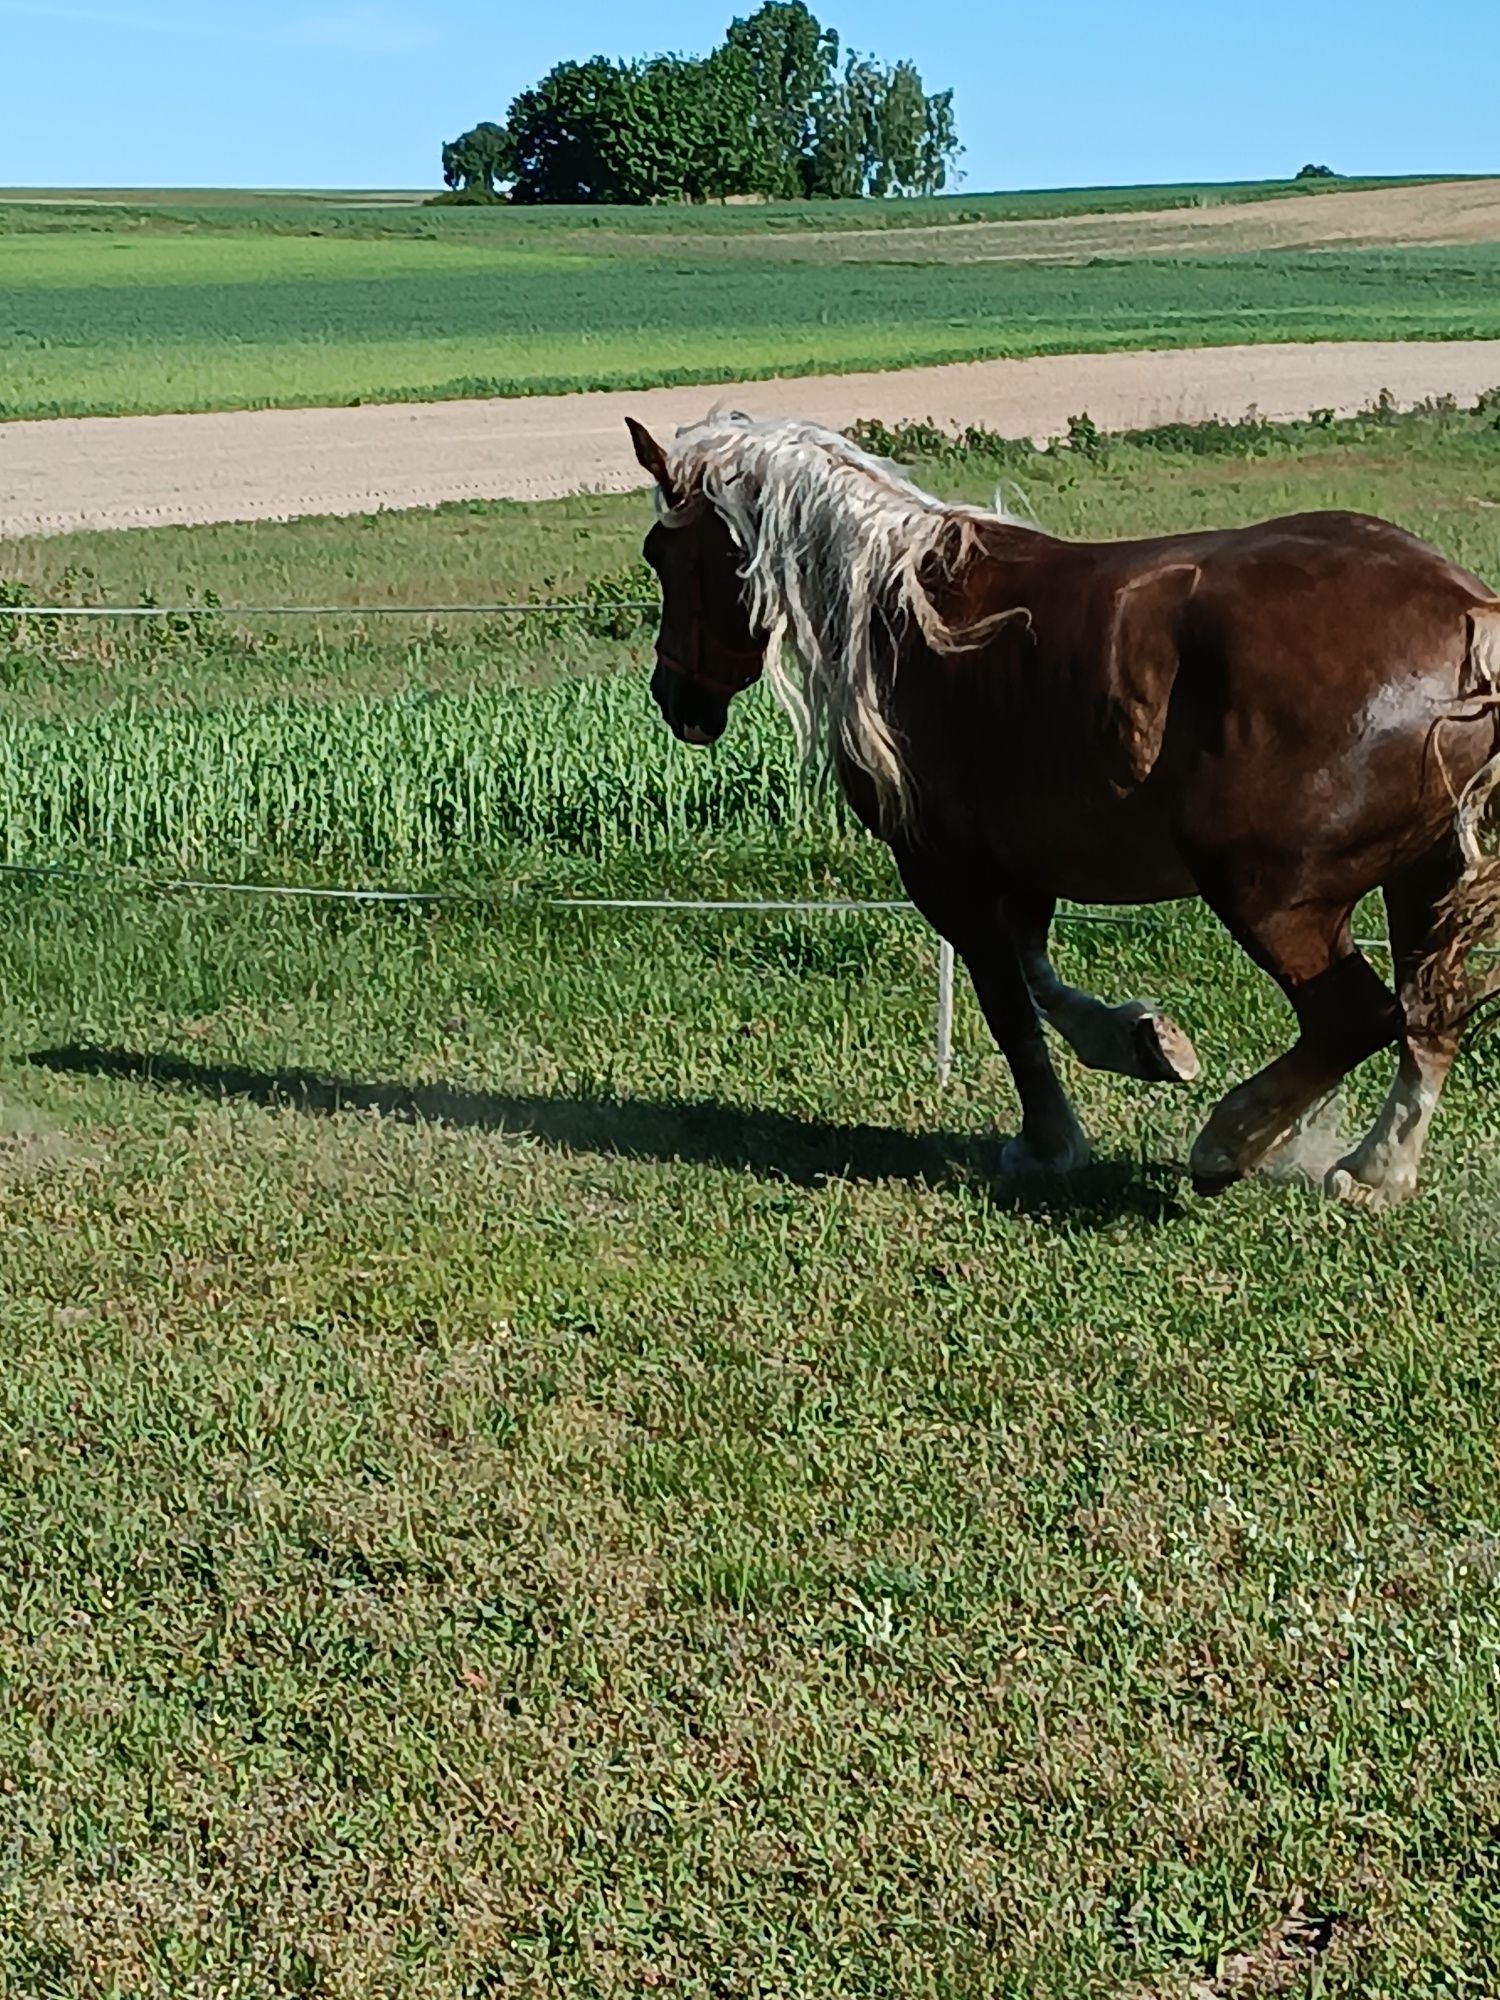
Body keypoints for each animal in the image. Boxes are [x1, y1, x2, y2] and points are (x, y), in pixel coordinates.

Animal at [624, 406, 1500, 1200]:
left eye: (660, 553)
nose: (674, 699)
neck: (898, 614)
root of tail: (1468, 618)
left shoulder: (944, 871)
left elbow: (1008, 1005)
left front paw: (1048, 1142)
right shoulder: (1021, 866)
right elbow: (1040, 979)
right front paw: (1146, 1042)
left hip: (1272, 894)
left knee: (1356, 1017)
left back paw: (1230, 1141)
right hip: (1423, 875)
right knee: (1432, 1011)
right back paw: (1376, 1171)